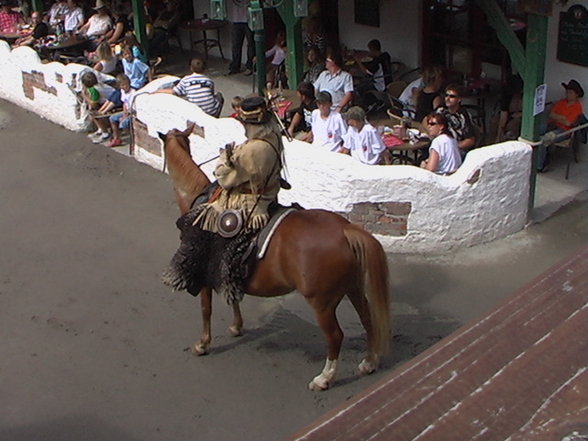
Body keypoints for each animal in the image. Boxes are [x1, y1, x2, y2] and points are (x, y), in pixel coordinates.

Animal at [158, 123, 392, 388]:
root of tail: (346, 230)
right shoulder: (228, 269)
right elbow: (233, 296)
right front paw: (236, 327)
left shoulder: (204, 273)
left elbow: (206, 308)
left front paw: (203, 344)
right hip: (353, 288)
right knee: (368, 319)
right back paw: (369, 362)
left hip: (322, 303)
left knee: (335, 336)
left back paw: (324, 378)